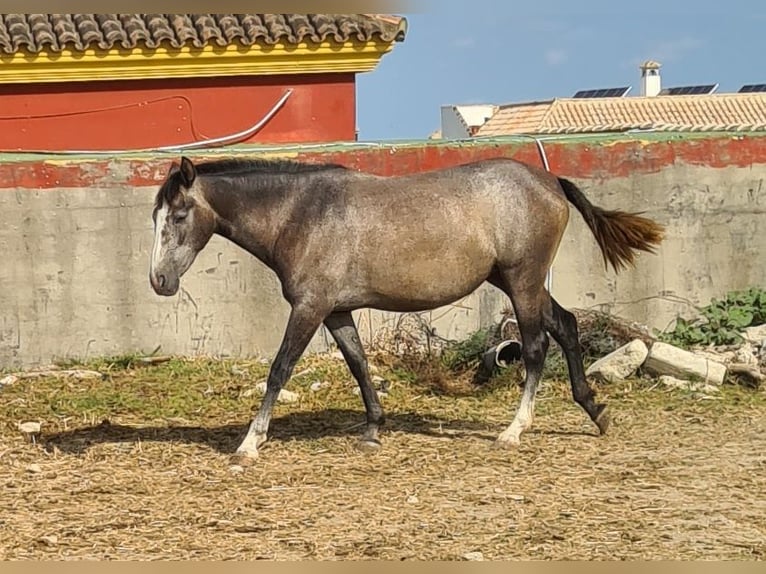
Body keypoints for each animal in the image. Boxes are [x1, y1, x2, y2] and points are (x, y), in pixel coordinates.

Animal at [150, 155, 664, 462]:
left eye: (178, 216)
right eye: (155, 217)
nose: (159, 281)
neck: (302, 213)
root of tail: (549, 180)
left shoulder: (310, 308)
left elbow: (280, 370)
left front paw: (249, 443)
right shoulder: (335, 311)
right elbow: (358, 364)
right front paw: (374, 430)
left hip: (522, 281)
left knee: (537, 347)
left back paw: (514, 430)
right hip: (518, 281)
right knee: (568, 326)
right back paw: (596, 412)